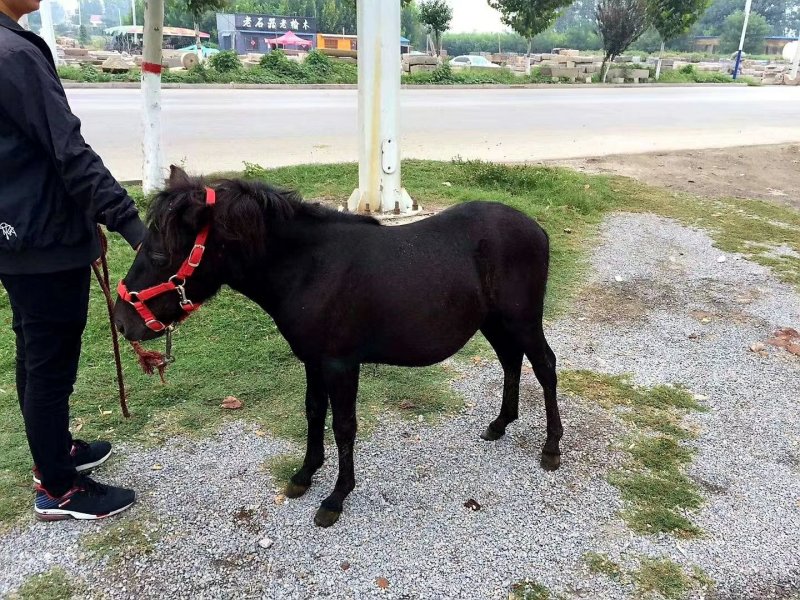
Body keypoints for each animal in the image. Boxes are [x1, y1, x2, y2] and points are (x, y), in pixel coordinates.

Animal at [113, 166, 563, 528]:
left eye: (159, 255)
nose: (121, 321)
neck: (311, 269)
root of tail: (536, 228)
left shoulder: (340, 364)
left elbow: (344, 426)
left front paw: (336, 497)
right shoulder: (313, 361)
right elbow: (314, 412)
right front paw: (304, 474)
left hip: (522, 320)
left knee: (544, 366)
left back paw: (552, 446)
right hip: (495, 322)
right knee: (511, 362)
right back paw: (500, 423)